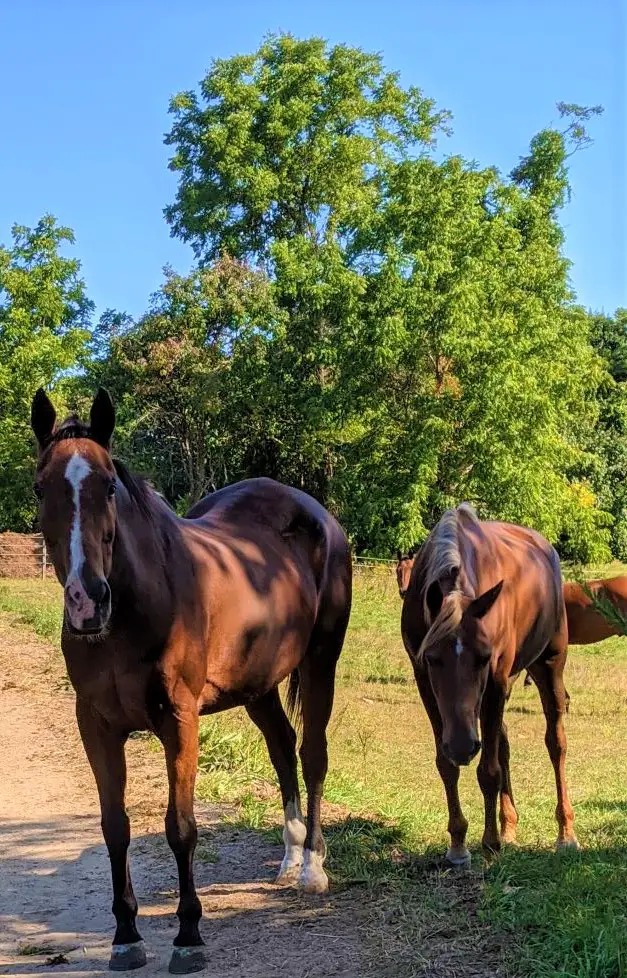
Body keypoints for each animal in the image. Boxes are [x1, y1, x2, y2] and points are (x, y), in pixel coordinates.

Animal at [30, 386, 354, 968]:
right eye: (41, 487)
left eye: (108, 485)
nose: (87, 601)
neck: (132, 611)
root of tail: (317, 516)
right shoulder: (95, 725)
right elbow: (115, 827)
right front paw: (126, 936)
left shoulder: (180, 721)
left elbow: (180, 828)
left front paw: (188, 936)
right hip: (257, 683)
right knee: (282, 746)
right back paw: (291, 854)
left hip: (321, 662)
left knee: (312, 752)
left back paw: (312, 867)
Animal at [402, 504, 580, 860]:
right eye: (432, 658)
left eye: (483, 657)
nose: (462, 745)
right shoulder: (424, 681)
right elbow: (447, 765)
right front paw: (458, 843)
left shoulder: (495, 679)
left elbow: (489, 770)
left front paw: (490, 844)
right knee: (504, 743)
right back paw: (509, 827)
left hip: (548, 665)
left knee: (556, 743)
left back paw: (565, 833)